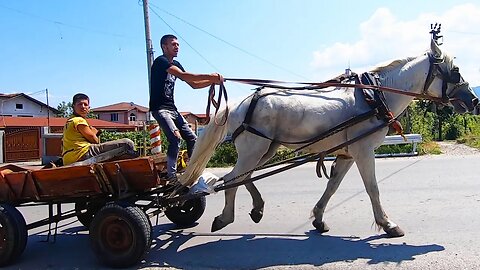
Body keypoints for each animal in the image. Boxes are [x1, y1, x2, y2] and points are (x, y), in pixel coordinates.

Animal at [178, 39, 478, 237]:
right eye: (456, 71)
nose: (474, 100)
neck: (373, 95)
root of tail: (239, 104)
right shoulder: (363, 151)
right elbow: (372, 188)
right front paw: (388, 224)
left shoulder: (347, 153)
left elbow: (332, 187)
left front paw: (319, 219)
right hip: (254, 149)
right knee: (232, 180)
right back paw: (225, 217)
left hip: (266, 150)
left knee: (241, 177)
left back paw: (257, 208)